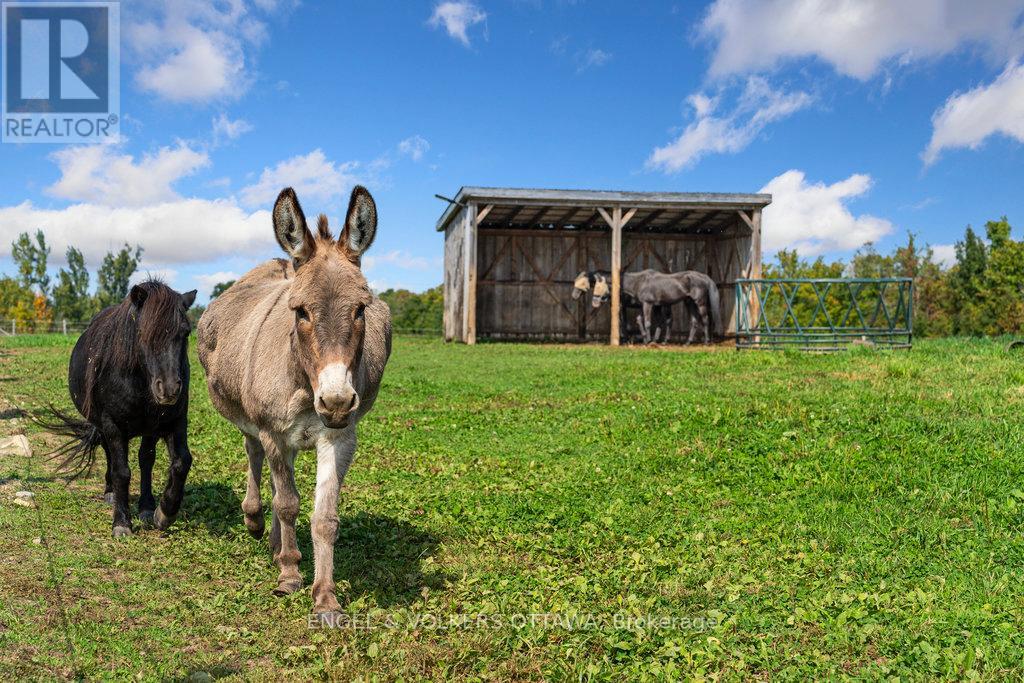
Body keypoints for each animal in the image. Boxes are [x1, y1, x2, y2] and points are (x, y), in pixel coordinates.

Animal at [39, 280, 196, 536]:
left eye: (185, 332)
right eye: (144, 333)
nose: (170, 389)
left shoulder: (172, 421)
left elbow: (180, 462)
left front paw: (163, 513)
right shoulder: (112, 425)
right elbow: (121, 471)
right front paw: (122, 522)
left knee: (145, 460)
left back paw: (146, 506)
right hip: (104, 428)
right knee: (110, 457)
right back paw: (111, 493)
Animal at [197, 185, 389, 614]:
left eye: (360, 310)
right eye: (300, 312)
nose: (335, 401)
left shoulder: (339, 437)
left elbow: (324, 516)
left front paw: (325, 597)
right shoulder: (272, 430)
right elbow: (287, 503)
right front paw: (289, 576)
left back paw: (273, 541)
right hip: (252, 421)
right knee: (255, 455)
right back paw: (256, 521)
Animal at [436, 188, 770, 344]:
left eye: (584, 283)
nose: (577, 298)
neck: (630, 283)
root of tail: (702, 276)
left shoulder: (644, 304)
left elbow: (641, 321)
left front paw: (641, 339)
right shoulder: (631, 305)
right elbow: (628, 321)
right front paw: (634, 338)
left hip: (695, 300)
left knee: (700, 317)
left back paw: (698, 342)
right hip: (684, 302)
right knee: (688, 321)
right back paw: (686, 342)